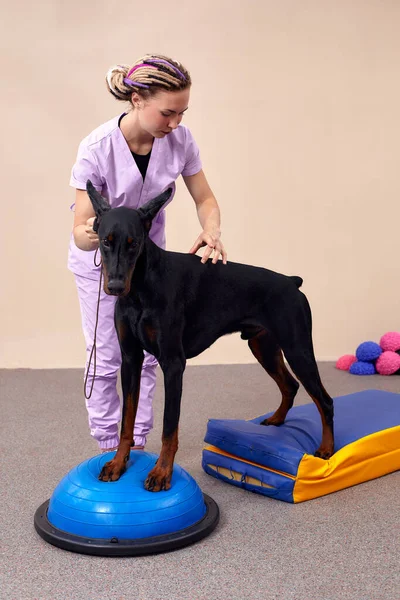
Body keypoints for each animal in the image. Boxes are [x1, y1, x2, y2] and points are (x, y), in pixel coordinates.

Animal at [87, 180, 334, 490]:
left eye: (134, 244)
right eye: (106, 241)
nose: (117, 287)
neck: (140, 289)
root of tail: (291, 282)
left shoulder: (173, 363)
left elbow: (169, 427)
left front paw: (161, 472)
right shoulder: (130, 359)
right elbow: (126, 420)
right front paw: (118, 463)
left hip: (297, 347)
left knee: (324, 400)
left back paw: (326, 449)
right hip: (263, 345)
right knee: (289, 385)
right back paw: (276, 420)